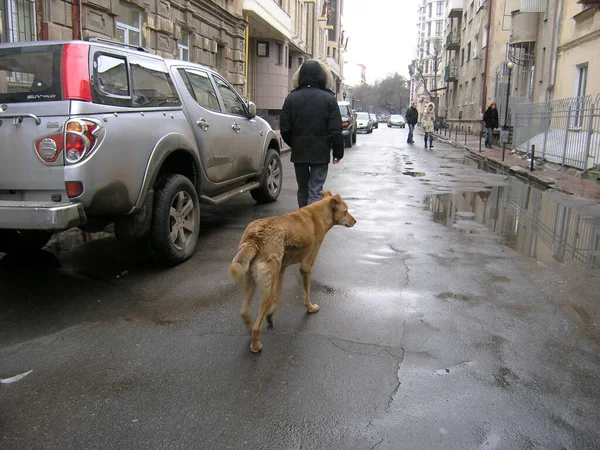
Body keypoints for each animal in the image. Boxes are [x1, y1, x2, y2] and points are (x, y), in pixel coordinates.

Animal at [227, 190, 354, 352]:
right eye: (346, 211)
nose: (355, 221)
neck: (319, 214)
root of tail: (254, 238)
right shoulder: (306, 267)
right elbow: (306, 294)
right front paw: (310, 308)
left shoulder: (282, 269)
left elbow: (280, 297)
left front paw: (271, 316)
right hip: (268, 288)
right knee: (257, 325)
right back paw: (256, 346)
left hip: (253, 281)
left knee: (244, 312)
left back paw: (250, 331)